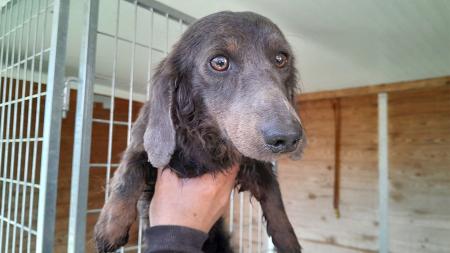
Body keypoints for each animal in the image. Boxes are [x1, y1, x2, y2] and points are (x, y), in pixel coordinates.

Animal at [95, 10, 306, 252]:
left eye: (281, 59)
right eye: (219, 62)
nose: (288, 137)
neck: (206, 139)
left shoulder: (250, 162)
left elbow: (273, 191)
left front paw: (287, 239)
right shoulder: (143, 143)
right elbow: (128, 172)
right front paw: (110, 228)